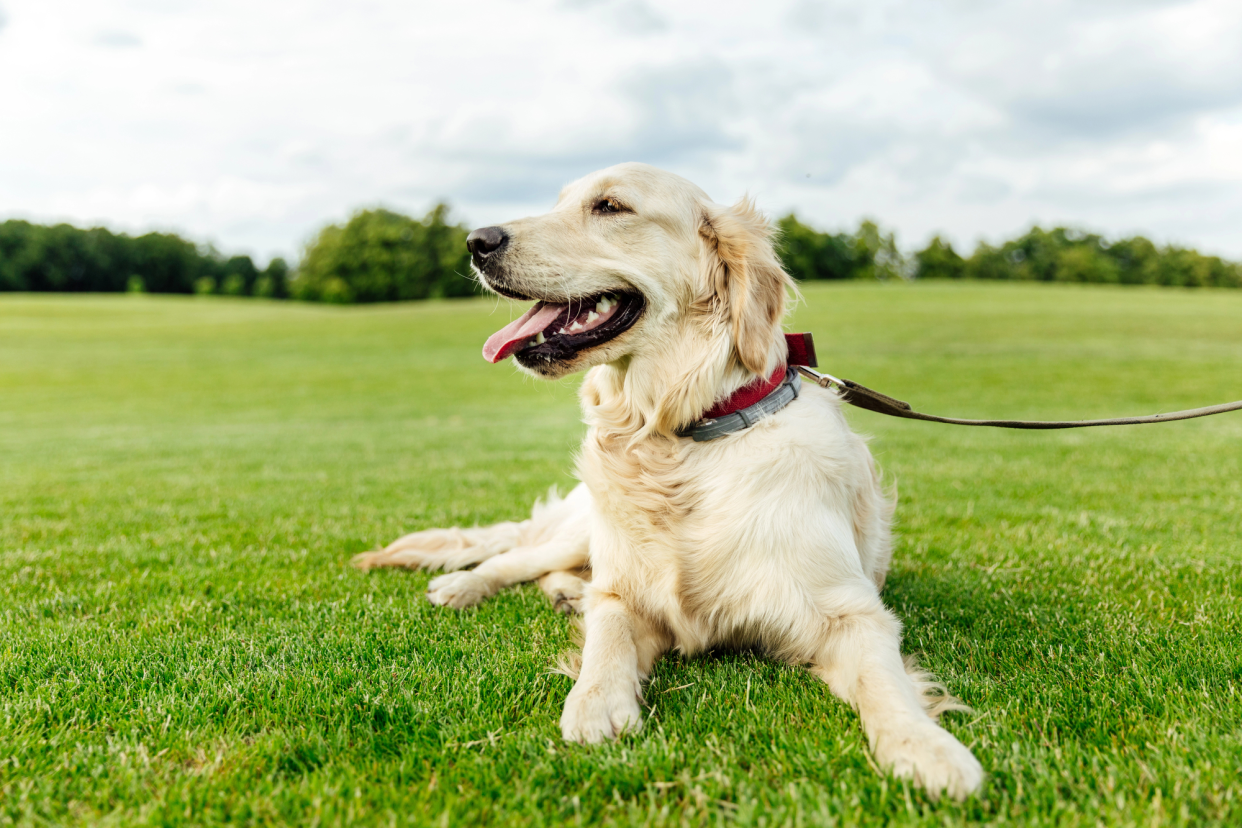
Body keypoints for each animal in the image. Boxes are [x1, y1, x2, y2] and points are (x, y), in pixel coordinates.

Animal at [355, 163, 983, 804]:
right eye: (558, 202)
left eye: (610, 206)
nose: (476, 241)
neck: (678, 438)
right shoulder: (627, 590)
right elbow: (606, 633)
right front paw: (595, 703)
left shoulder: (849, 612)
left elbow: (885, 681)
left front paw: (926, 749)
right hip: (587, 525)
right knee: (517, 558)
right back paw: (467, 586)